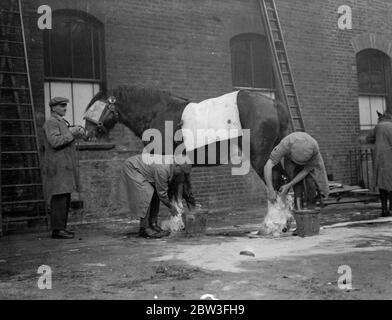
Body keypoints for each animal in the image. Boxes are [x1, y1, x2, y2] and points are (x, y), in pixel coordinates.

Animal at [82, 85, 290, 208]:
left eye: (96, 107)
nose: (86, 134)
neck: (157, 113)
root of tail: (273, 103)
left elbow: (173, 192)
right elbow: (187, 191)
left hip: (259, 157)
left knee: (275, 181)